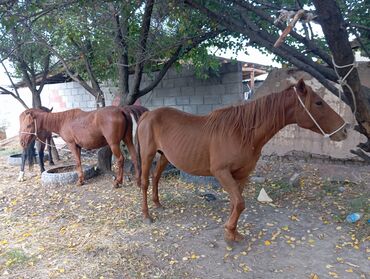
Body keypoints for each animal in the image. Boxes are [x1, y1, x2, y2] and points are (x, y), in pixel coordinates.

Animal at [19, 104, 147, 186]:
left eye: (29, 125)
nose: (22, 142)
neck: (63, 121)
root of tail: (121, 110)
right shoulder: (78, 146)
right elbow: (79, 161)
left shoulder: (72, 145)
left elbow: (77, 162)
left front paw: (80, 181)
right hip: (128, 139)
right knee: (134, 156)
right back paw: (138, 181)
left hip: (114, 144)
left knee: (120, 159)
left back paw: (118, 182)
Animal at [137, 79, 348, 243]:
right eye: (319, 103)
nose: (345, 130)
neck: (241, 132)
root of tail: (147, 114)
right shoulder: (221, 172)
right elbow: (239, 203)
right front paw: (230, 230)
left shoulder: (242, 174)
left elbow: (236, 203)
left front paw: (233, 232)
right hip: (148, 155)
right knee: (145, 182)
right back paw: (147, 215)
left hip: (164, 156)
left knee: (156, 178)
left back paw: (158, 204)